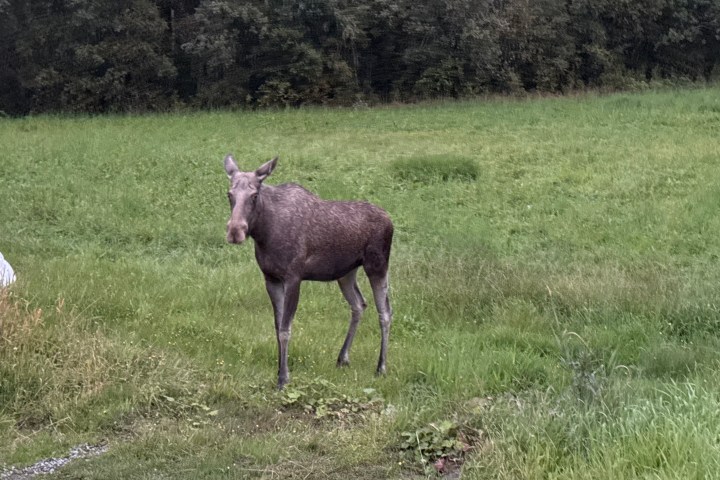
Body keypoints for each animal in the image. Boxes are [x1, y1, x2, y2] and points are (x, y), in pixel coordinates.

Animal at [224, 155, 394, 389]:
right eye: (229, 194)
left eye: (254, 195)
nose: (235, 231)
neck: (265, 233)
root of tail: (391, 220)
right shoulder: (270, 278)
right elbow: (277, 327)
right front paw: (279, 371)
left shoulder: (294, 277)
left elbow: (285, 330)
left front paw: (283, 379)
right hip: (346, 273)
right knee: (359, 304)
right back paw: (342, 358)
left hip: (377, 265)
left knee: (385, 312)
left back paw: (381, 367)